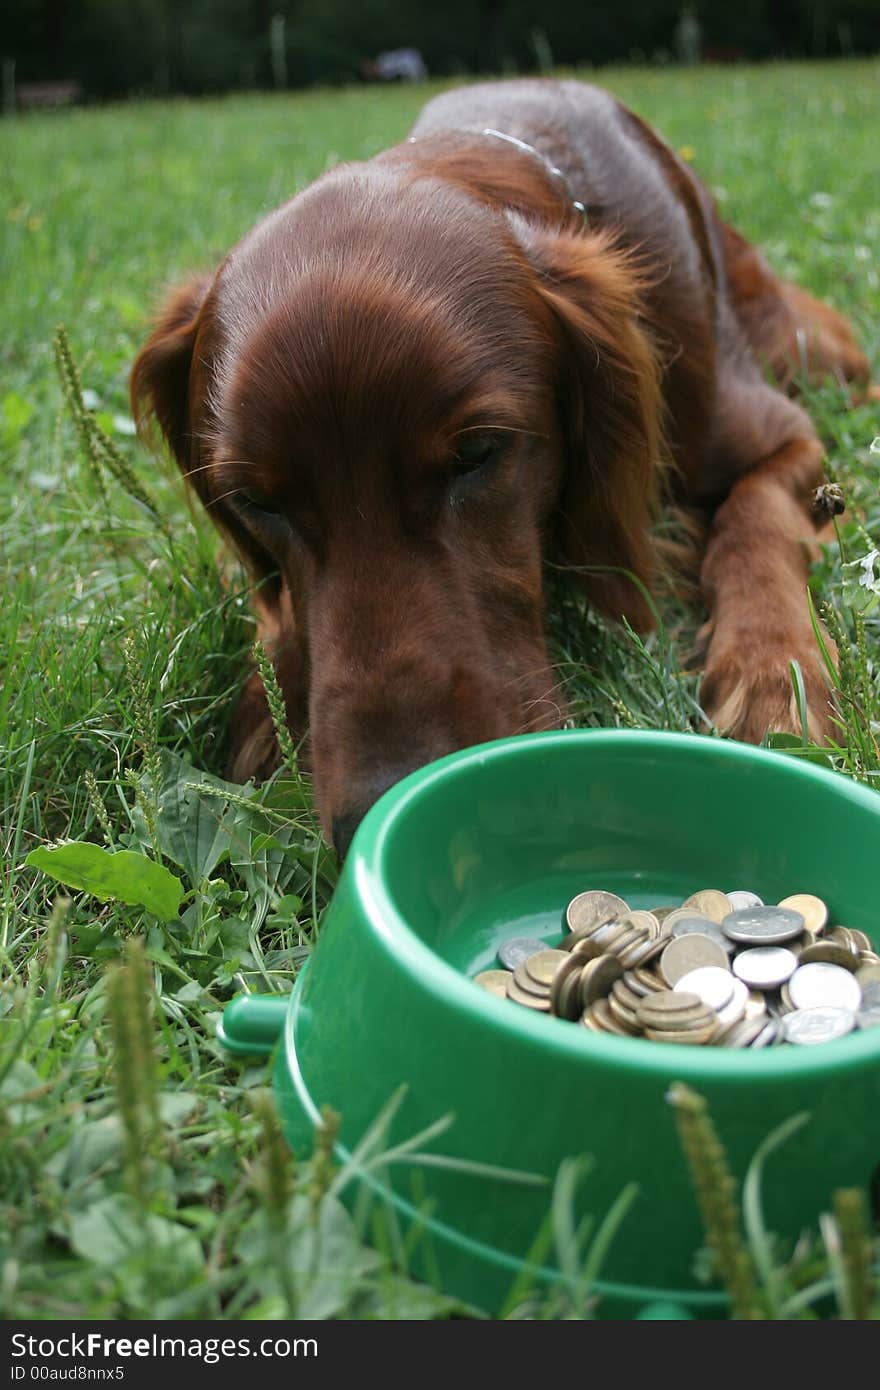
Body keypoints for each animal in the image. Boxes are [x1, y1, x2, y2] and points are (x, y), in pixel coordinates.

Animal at [130, 81, 873, 856]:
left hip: (800, 341)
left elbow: (756, 520)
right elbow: (268, 599)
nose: (374, 813)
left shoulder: (780, 435)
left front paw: (773, 672)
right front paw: (267, 692)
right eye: (256, 500)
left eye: (476, 453)